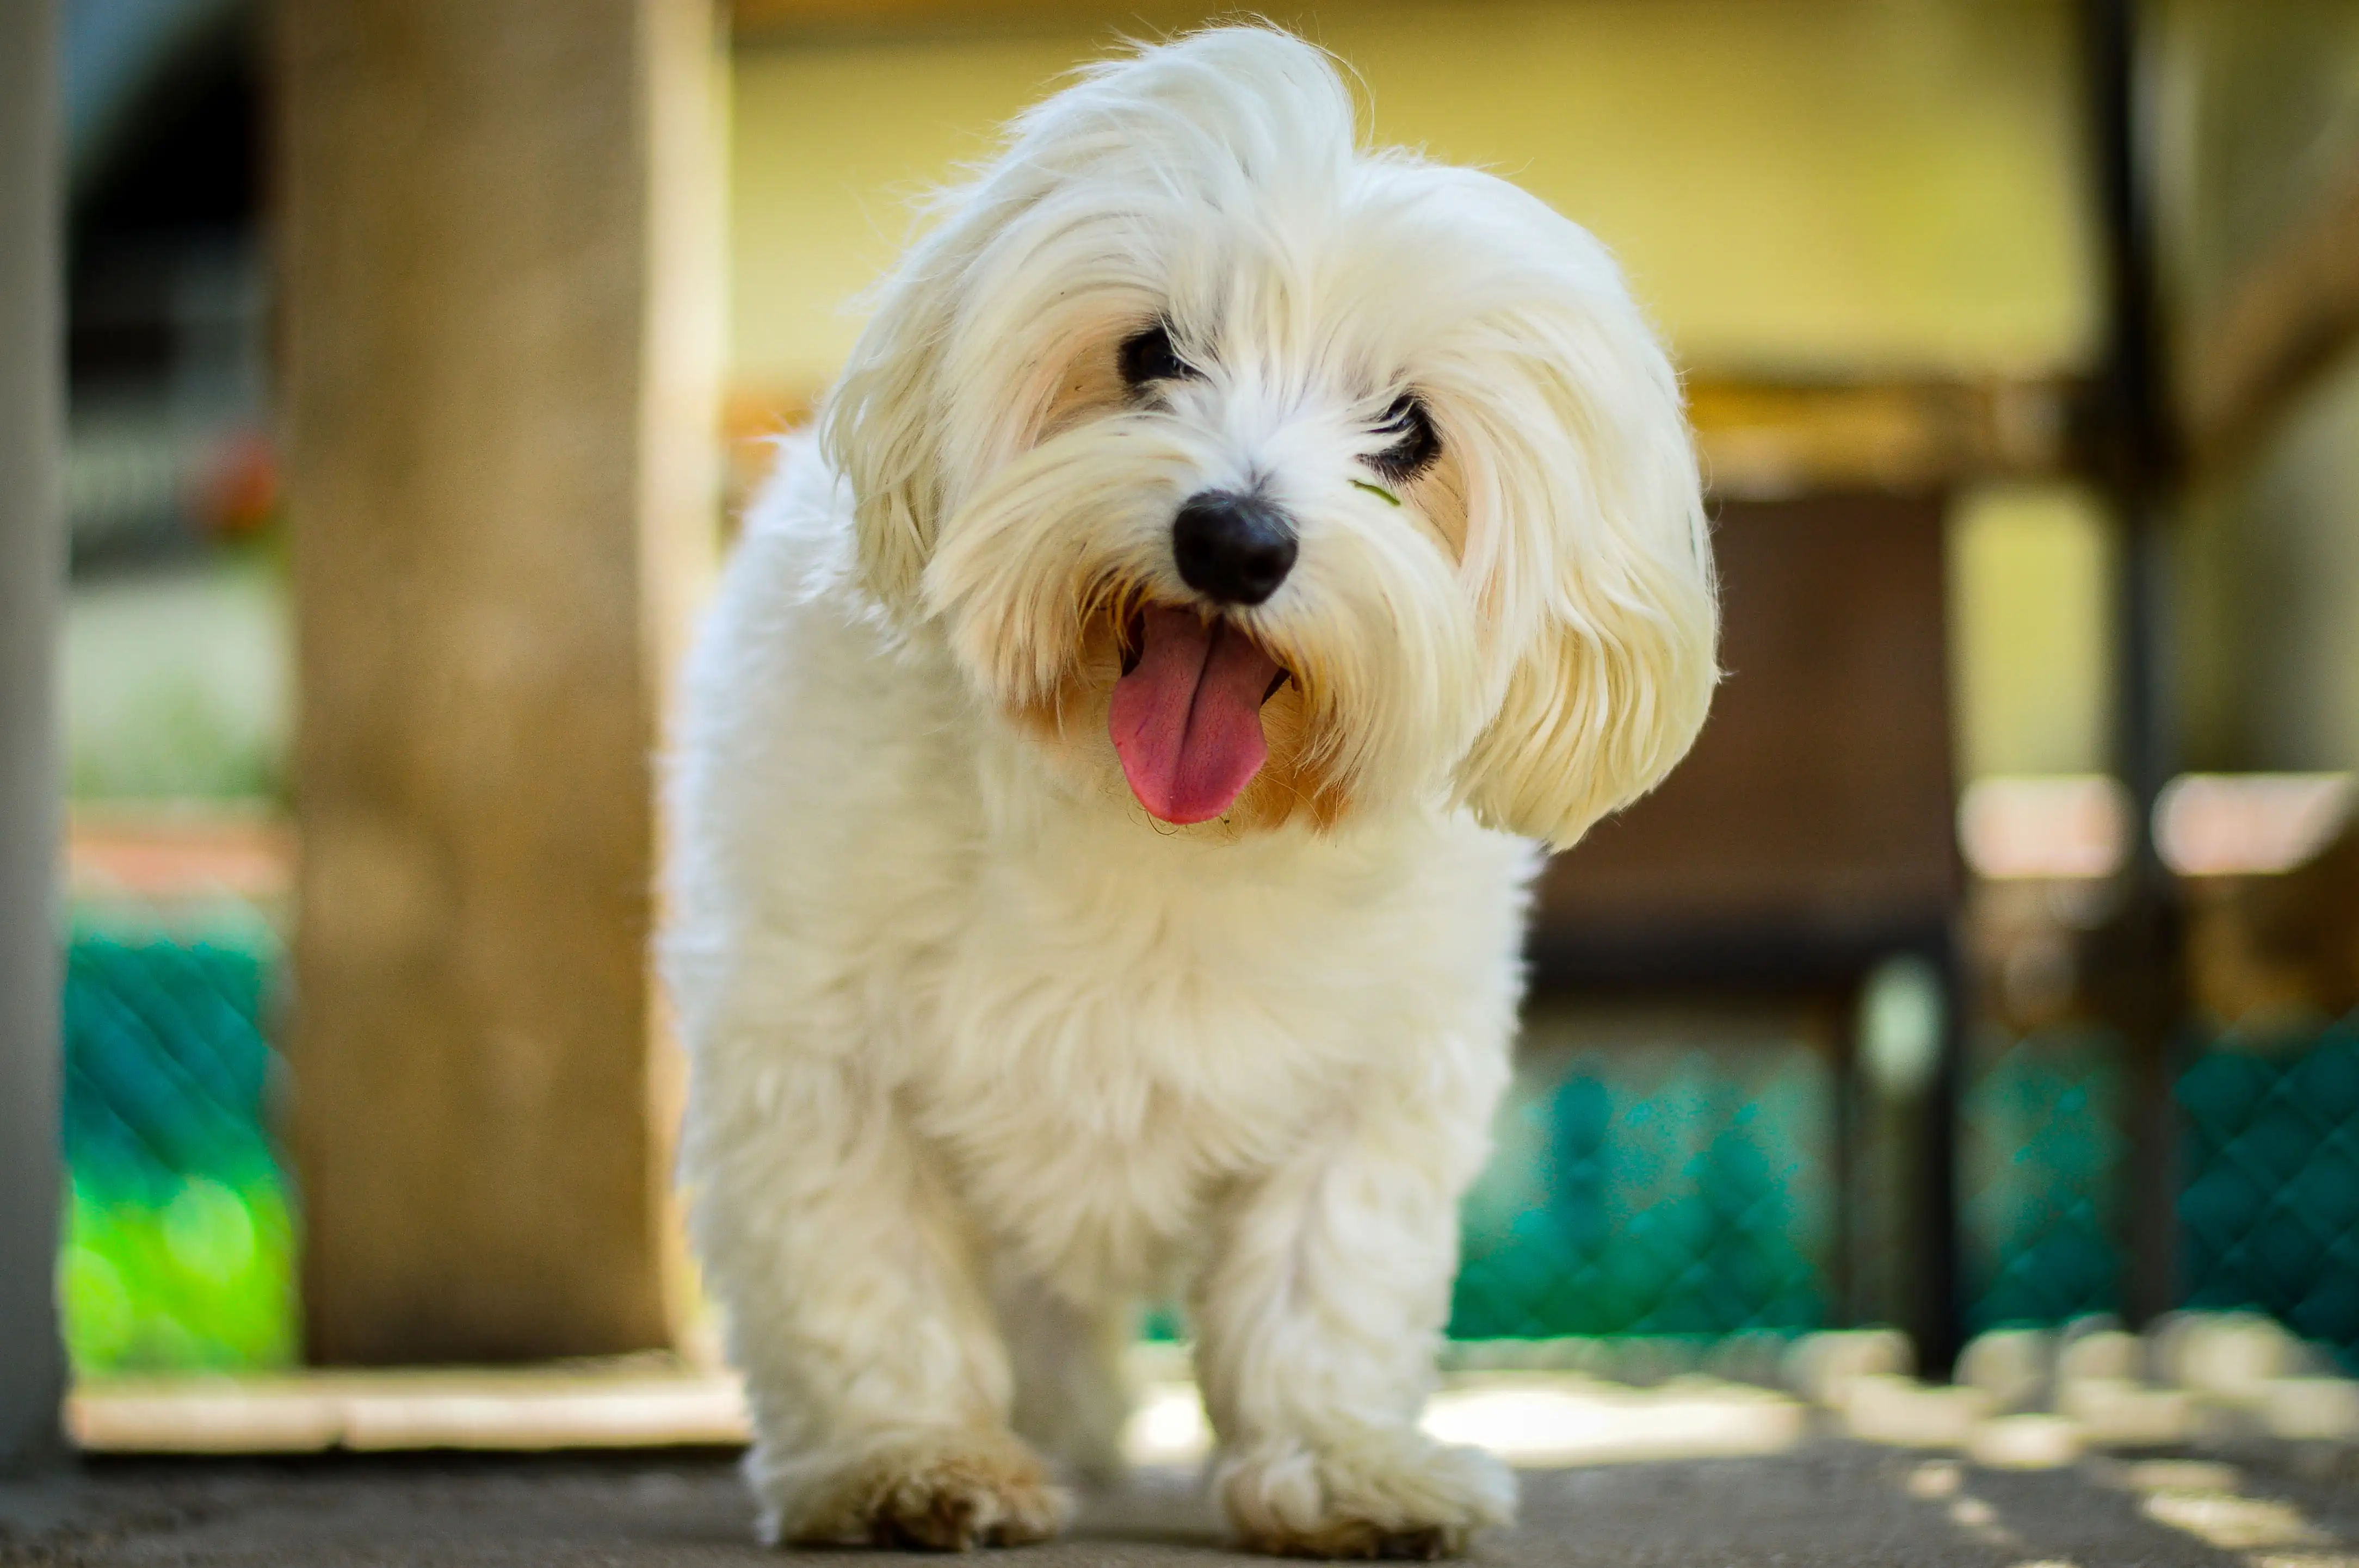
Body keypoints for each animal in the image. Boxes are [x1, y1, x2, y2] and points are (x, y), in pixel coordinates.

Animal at [665, 24, 1717, 1556]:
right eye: (1150, 353)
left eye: (1405, 429)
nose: (1234, 537)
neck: (1153, 826)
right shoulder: (809, 1040)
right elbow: (859, 1265)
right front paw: (904, 1456)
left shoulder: (1375, 1073)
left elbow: (1328, 1274)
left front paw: (1340, 1460)